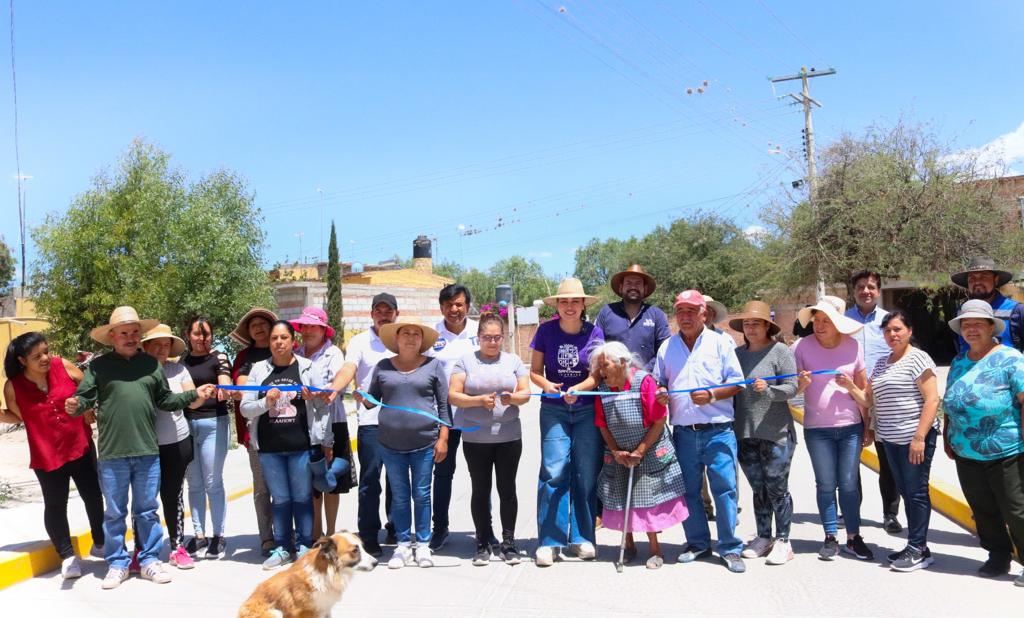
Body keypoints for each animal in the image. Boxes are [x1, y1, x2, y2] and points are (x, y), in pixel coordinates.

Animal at [239, 532, 368, 618]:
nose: (373, 563)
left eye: (362, 547)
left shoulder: (325, 608)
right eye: (355, 551)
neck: (325, 571)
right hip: (274, 612)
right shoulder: (306, 613)